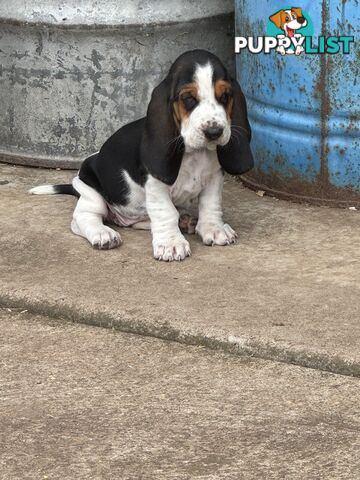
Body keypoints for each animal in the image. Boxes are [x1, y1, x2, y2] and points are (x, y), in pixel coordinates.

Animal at [31, 50, 256, 260]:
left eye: (225, 96)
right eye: (188, 98)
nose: (214, 132)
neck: (194, 153)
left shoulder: (214, 177)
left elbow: (211, 204)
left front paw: (213, 229)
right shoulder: (155, 186)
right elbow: (166, 212)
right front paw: (171, 244)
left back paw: (185, 220)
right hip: (89, 191)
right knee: (83, 218)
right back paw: (103, 234)